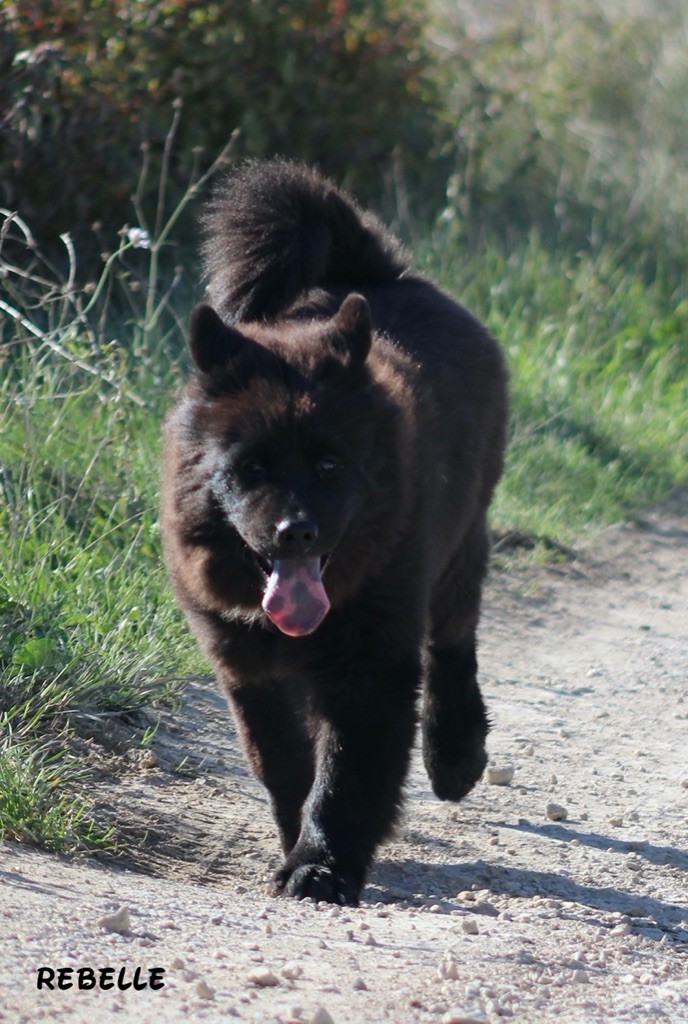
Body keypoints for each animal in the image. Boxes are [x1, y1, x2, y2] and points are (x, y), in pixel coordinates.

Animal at [159, 159, 505, 905]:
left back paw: (456, 754)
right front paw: (298, 845)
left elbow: (347, 774)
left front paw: (322, 867)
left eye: (328, 465)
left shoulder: (372, 663)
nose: (296, 532)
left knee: (454, 642)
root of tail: (375, 273)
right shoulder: (246, 667)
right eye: (252, 468)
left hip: (461, 543)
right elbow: (287, 763)